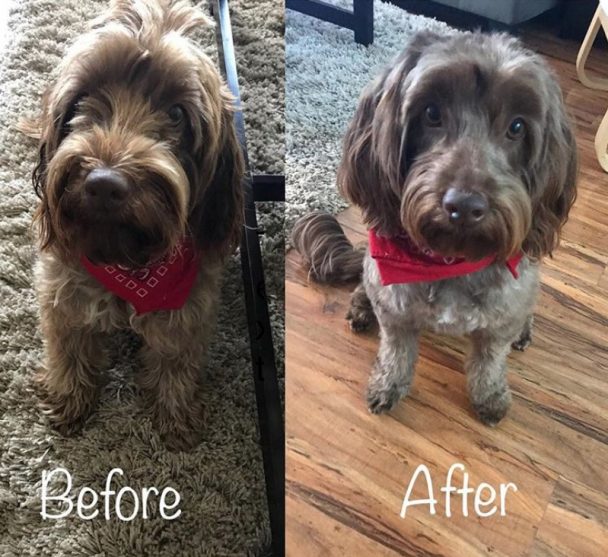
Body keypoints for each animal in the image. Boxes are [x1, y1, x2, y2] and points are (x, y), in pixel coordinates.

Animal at [30, 0, 243, 450]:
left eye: (177, 113)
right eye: (84, 98)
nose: (104, 185)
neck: (128, 261)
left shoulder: (190, 305)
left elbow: (176, 358)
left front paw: (175, 413)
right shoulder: (62, 289)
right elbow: (68, 346)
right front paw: (67, 397)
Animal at [292, 31, 576, 426]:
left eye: (517, 126)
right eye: (431, 114)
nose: (465, 206)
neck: (448, 261)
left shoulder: (500, 316)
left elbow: (490, 361)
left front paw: (490, 397)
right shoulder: (395, 309)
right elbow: (395, 353)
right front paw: (387, 386)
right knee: (366, 282)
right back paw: (362, 306)